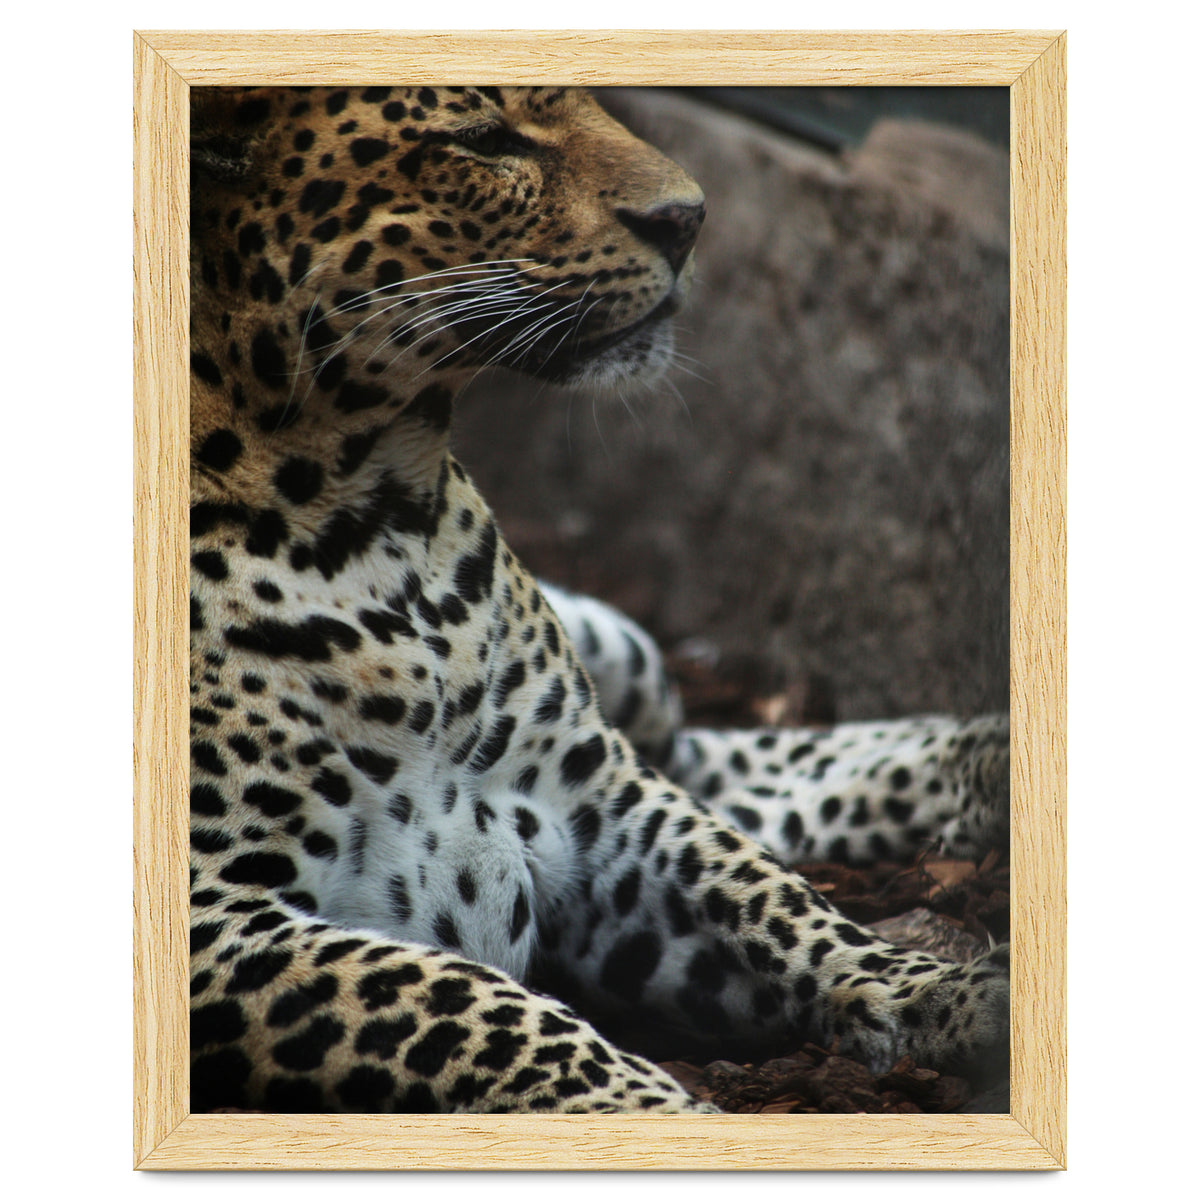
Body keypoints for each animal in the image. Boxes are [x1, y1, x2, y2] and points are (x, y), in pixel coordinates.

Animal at [189, 84, 1010, 1115]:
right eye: (483, 138)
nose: (689, 219)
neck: (378, 518)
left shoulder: (597, 803)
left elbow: (770, 896)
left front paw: (946, 990)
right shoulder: (215, 918)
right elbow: (467, 1000)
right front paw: (663, 1114)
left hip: (629, 667)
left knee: (713, 764)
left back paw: (989, 758)